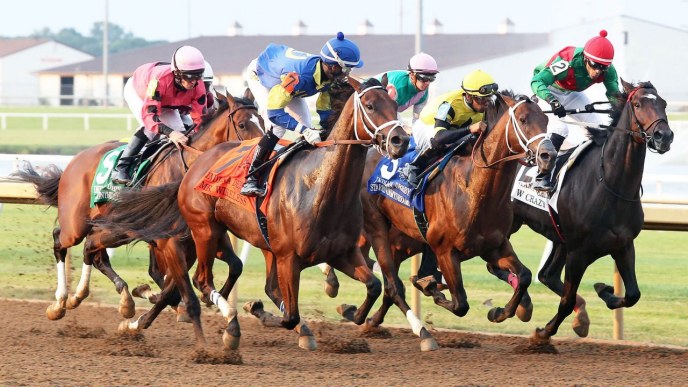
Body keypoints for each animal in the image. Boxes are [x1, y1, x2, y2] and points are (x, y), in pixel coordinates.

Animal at [13, 90, 268, 334]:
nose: (260, 159)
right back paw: (61, 302)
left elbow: (235, 266)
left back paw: (117, 298)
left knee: (95, 252)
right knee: (61, 240)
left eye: (264, 122)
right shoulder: (169, 240)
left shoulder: (204, 234)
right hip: (78, 224)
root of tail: (77, 159)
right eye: (243, 124)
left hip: (114, 226)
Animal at [94, 77, 412, 350]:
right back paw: (222, 321)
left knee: (184, 283)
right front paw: (252, 310)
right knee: (200, 281)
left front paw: (350, 311)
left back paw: (140, 320)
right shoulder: (288, 258)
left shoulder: (342, 253)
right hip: (204, 230)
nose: (401, 140)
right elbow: (290, 316)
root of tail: (195, 167)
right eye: (370, 105)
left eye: (395, 105)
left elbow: (374, 285)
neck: (320, 188)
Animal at [334, 92, 560, 354]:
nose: (548, 156)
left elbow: (524, 276)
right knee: (391, 284)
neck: (474, 190)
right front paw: (431, 288)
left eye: (546, 120)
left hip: (402, 242)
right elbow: (460, 303)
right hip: (377, 227)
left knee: (388, 284)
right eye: (523, 119)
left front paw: (499, 312)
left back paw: (361, 316)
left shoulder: (495, 246)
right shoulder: (444, 251)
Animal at [498, 79, 676, 346]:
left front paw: (605, 291)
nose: (663, 136)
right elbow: (567, 299)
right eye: (637, 104)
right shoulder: (579, 252)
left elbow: (633, 294)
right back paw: (519, 305)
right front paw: (543, 332)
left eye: (663, 103)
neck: (611, 184)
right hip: (509, 225)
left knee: (546, 275)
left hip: (557, 236)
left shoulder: (623, 244)